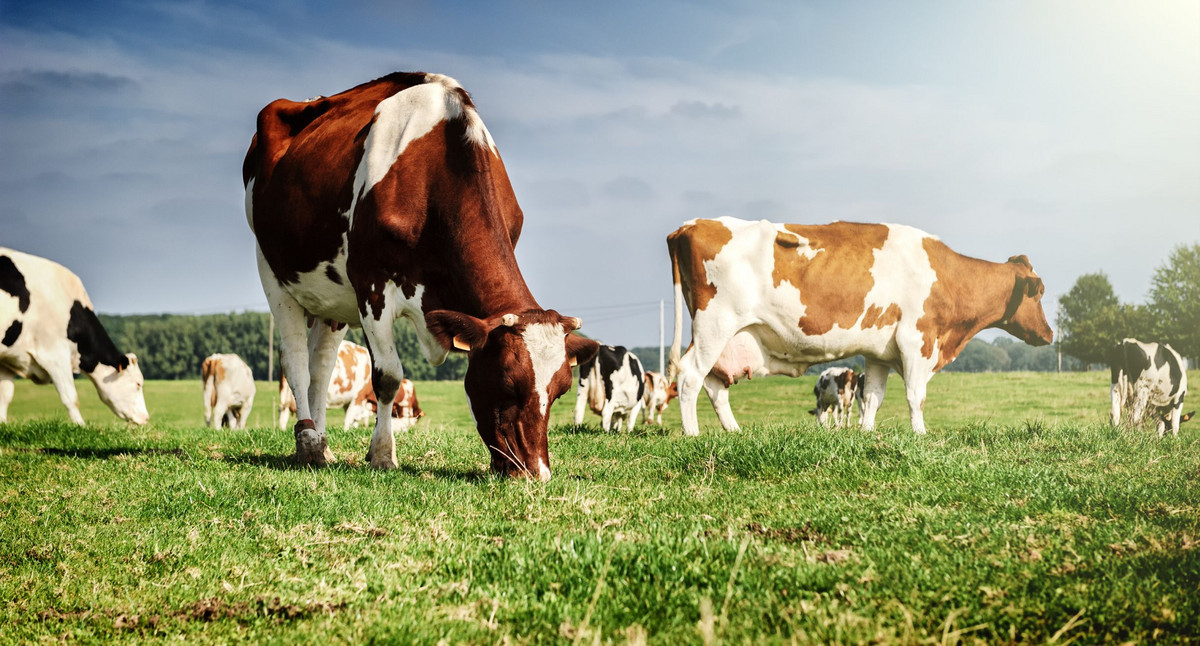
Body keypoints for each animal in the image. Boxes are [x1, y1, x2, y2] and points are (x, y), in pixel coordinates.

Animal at [0, 246, 150, 422]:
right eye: (138, 384)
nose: (146, 417)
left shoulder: (8, 359)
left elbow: (5, 396)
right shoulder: (54, 355)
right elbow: (71, 398)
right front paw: (80, 425)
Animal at [246, 72, 597, 477]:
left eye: (561, 389)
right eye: (507, 382)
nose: (537, 474)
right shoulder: (371, 285)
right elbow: (387, 376)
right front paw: (383, 454)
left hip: (331, 297)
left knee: (321, 367)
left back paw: (322, 445)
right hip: (272, 270)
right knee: (296, 361)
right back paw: (306, 441)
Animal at [672, 218, 1056, 434]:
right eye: (1039, 291)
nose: (1050, 333)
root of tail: (691, 224)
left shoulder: (879, 352)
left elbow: (872, 397)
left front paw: (867, 434)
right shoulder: (916, 339)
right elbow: (916, 396)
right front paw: (921, 435)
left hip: (727, 337)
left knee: (714, 384)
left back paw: (734, 432)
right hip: (714, 324)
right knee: (690, 376)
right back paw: (693, 436)